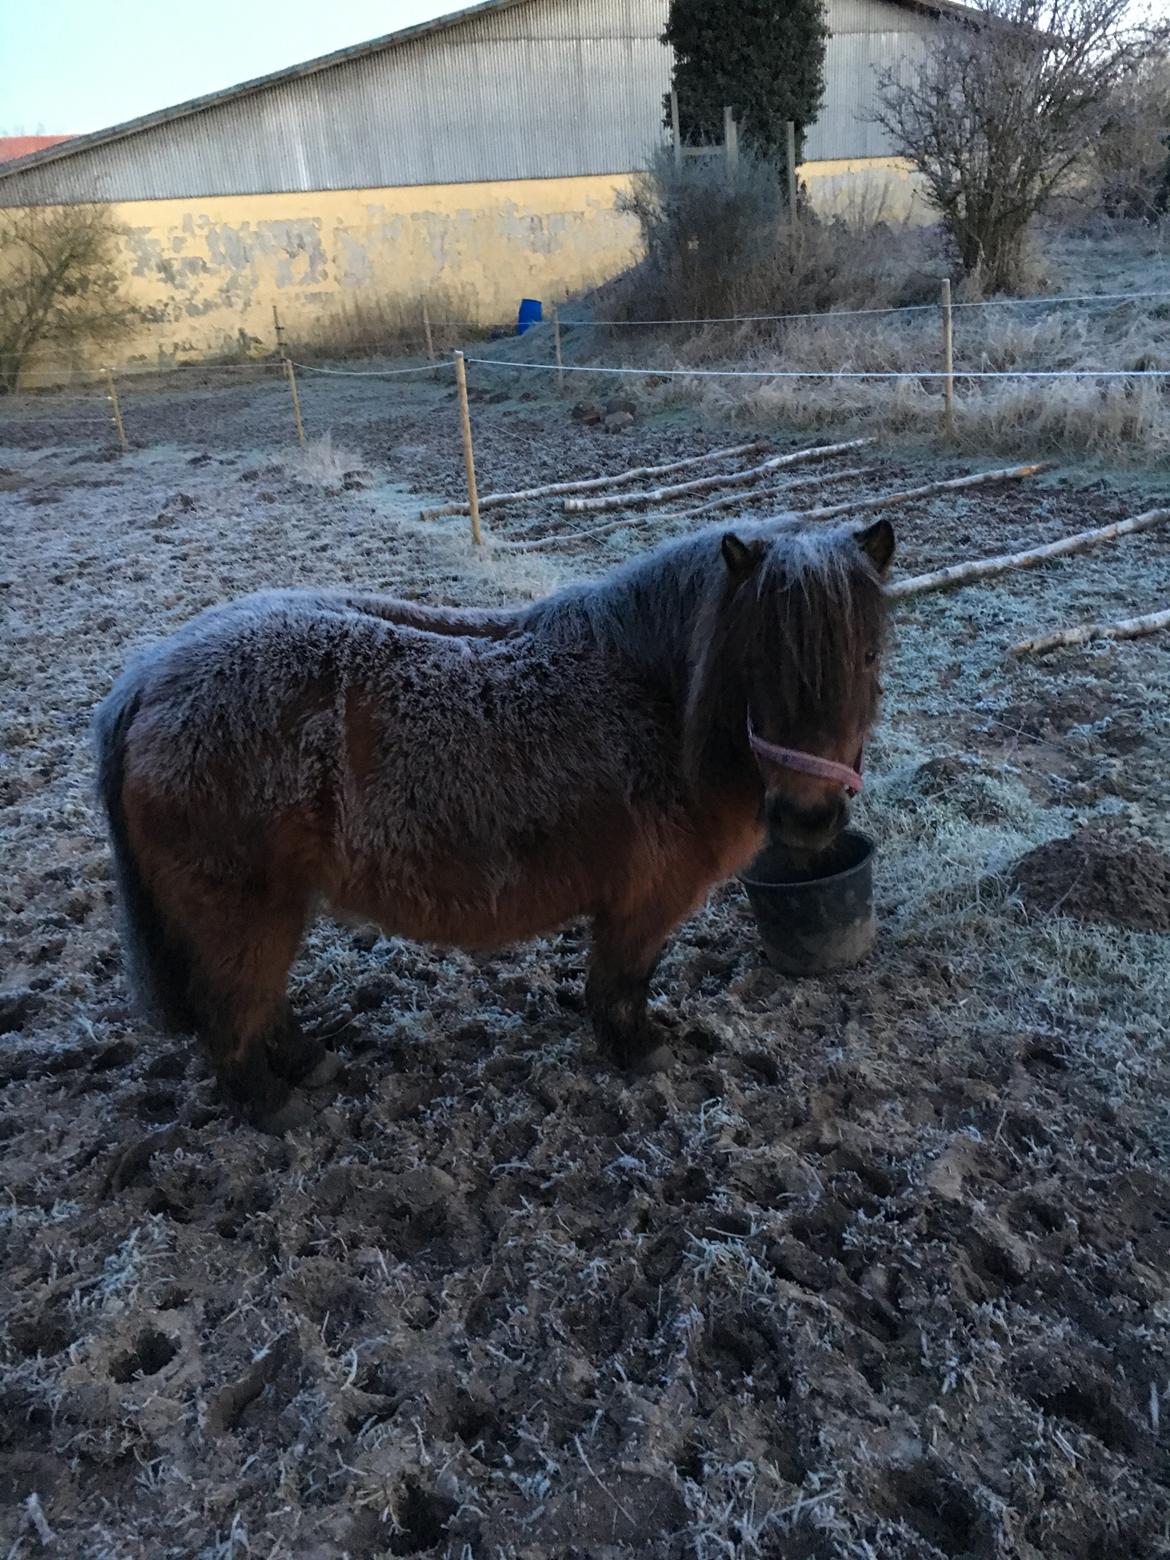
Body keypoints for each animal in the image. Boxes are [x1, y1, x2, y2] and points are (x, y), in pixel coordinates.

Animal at [93, 517, 898, 1129]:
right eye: (757, 659)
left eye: (866, 655)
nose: (808, 815)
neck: (662, 700)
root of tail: (150, 679)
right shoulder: (645, 903)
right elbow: (622, 982)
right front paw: (638, 1049)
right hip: (243, 911)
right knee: (231, 1011)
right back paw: (270, 1104)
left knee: (260, 1002)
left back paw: (309, 1062)